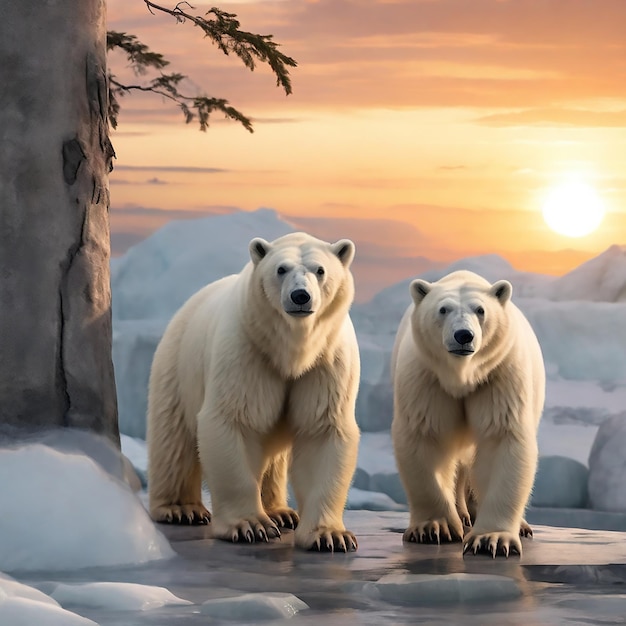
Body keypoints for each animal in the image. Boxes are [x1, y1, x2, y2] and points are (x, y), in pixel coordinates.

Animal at [147, 230, 360, 552]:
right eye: (281, 269)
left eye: (320, 270)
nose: (300, 296)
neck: (291, 350)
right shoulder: (246, 350)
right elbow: (233, 420)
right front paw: (250, 525)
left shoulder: (327, 361)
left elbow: (322, 430)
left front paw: (329, 535)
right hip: (177, 367)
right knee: (174, 441)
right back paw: (181, 508)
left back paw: (281, 512)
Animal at [392, 268, 544, 556]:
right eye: (443, 309)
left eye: (480, 310)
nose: (464, 335)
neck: (462, 375)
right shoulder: (427, 377)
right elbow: (425, 437)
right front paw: (434, 528)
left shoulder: (497, 375)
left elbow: (501, 438)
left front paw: (491, 539)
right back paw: (461, 515)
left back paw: (516, 524)